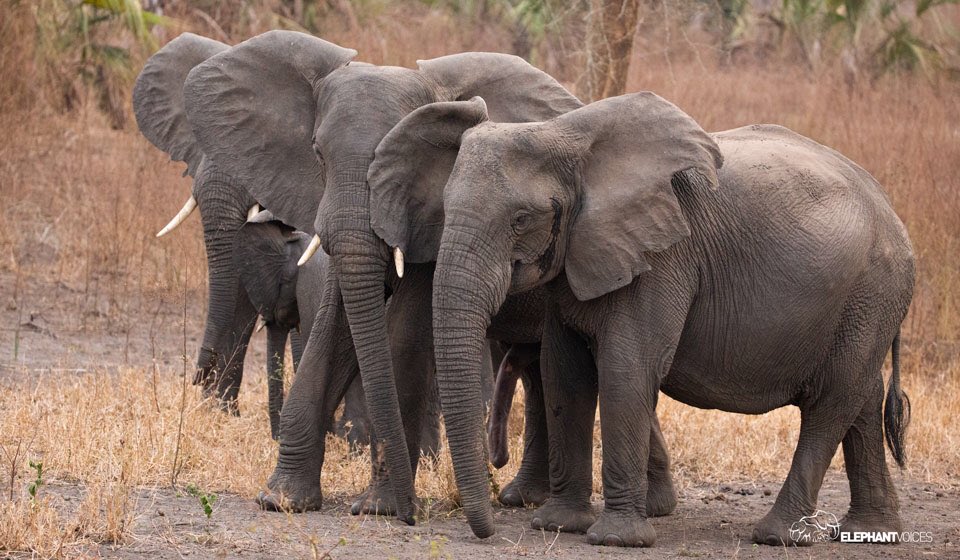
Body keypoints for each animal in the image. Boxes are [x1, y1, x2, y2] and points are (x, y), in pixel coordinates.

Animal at [366, 92, 914, 546]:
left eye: (522, 219)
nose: (489, 529)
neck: (564, 138)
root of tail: (895, 213)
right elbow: (565, 373)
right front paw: (559, 526)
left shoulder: (664, 255)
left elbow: (626, 369)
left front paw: (615, 539)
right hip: (864, 304)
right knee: (861, 398)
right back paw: (872, 531)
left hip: (872, 291)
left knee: (831, 401)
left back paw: (778, 536)